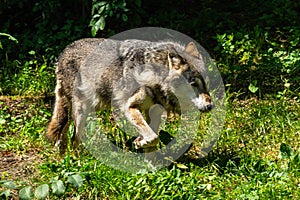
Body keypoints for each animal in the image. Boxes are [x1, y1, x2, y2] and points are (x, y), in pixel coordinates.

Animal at [47, 38, 213, 153]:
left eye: (206, 84)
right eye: (193, 84)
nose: (210, 105)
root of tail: (64, 51)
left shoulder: (154, 112)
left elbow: (153, 140)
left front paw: (150, 168)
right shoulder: (129, 107)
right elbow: (153, 137)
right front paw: (139, 142)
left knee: (63, 134)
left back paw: (62, 157)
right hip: (81, 112)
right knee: (74, 139)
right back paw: (77, 162)